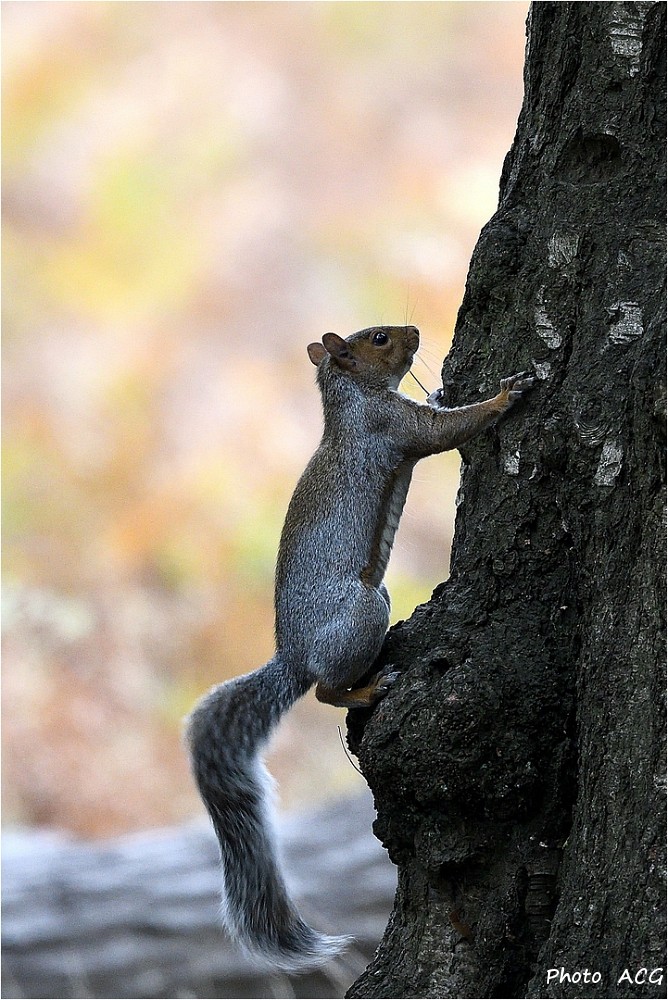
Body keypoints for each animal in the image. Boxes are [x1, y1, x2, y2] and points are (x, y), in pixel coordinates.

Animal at [186, 325, 534, 971]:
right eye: (377, 338)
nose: (416, 332)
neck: (349, 401)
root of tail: (294, 659)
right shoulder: (392, 426)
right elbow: (446, 431)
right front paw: (505, 395)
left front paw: (445, 385)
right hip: (364, 610)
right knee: (325, 692)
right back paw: (368, 687)